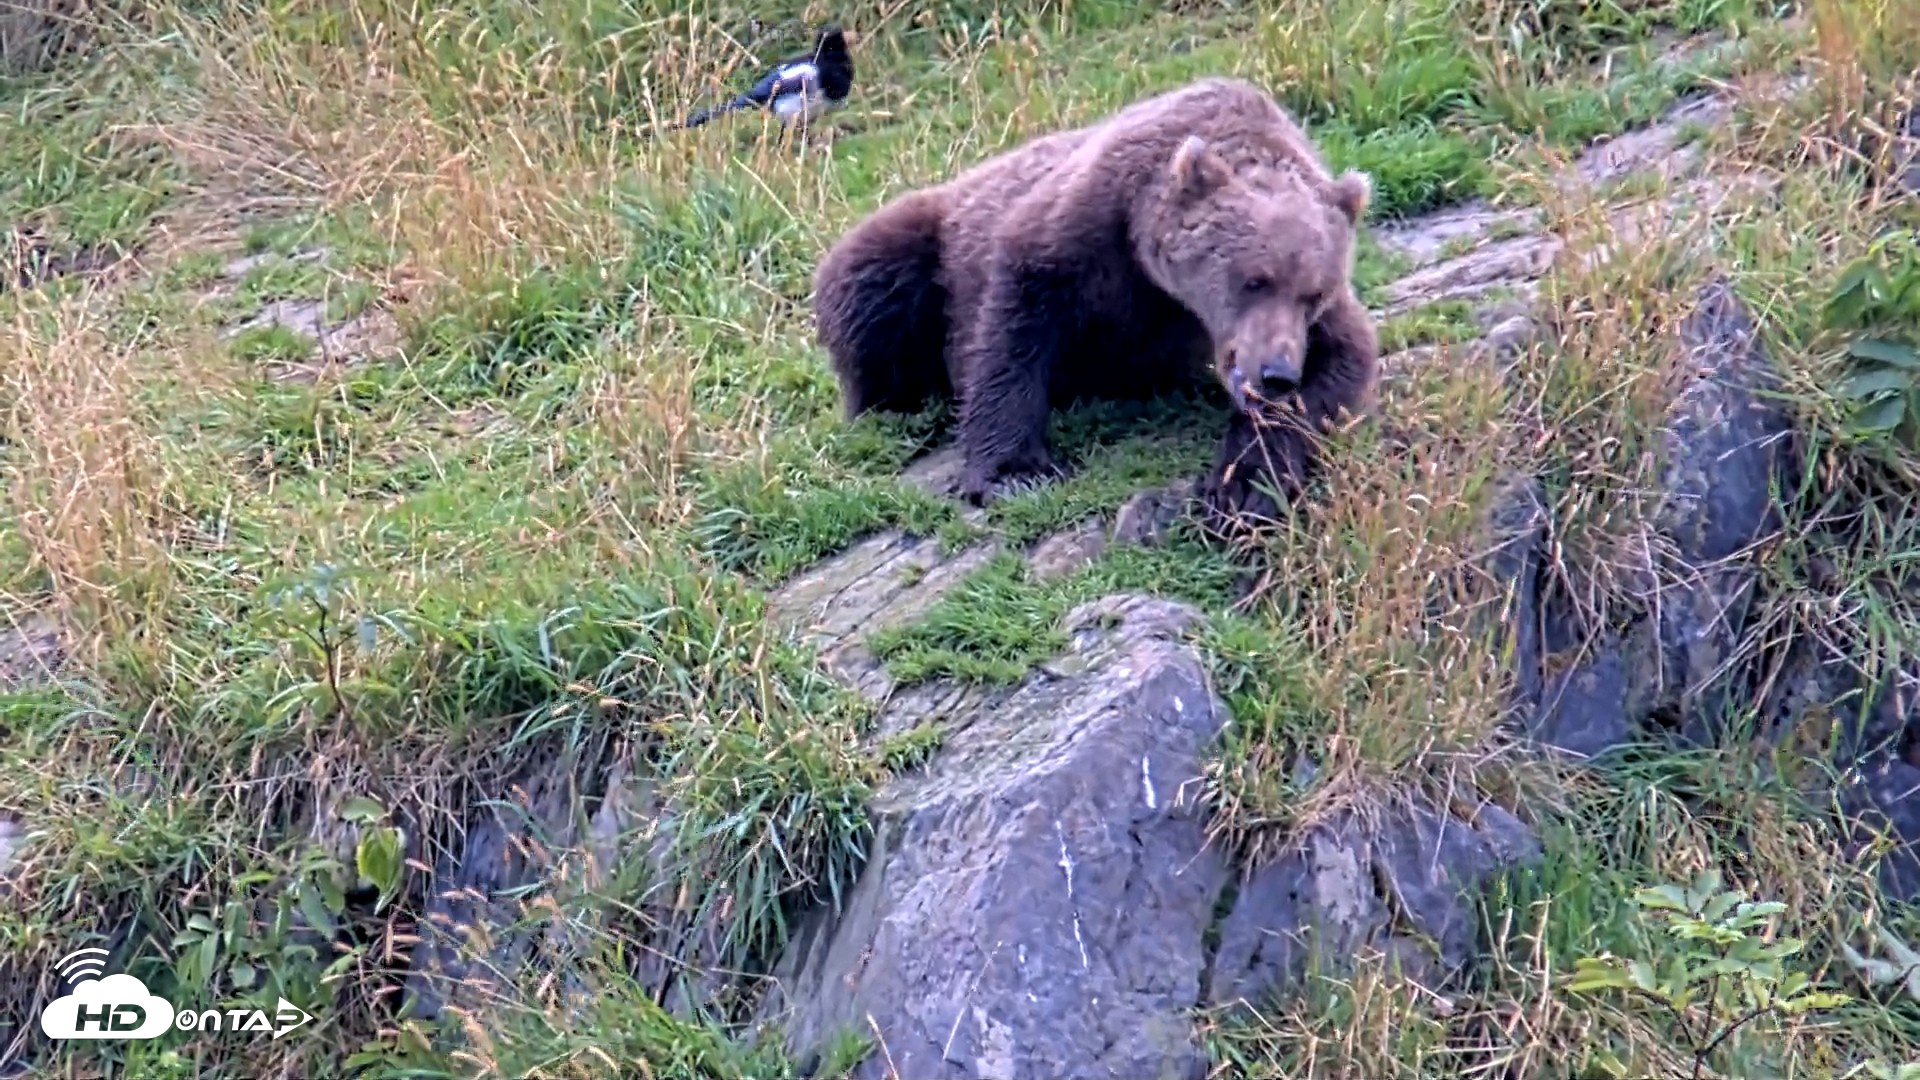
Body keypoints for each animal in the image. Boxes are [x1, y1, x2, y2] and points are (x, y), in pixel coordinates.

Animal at [811, 76, 1380, 525]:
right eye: (1254, 280)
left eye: (1314, 293)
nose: (1276, 373)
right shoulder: (1085, 228)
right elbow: (1013, 327)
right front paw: (1014, 472)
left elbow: (1337, 368)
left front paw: (1244, 487)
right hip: (923, 237)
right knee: (874, 288)